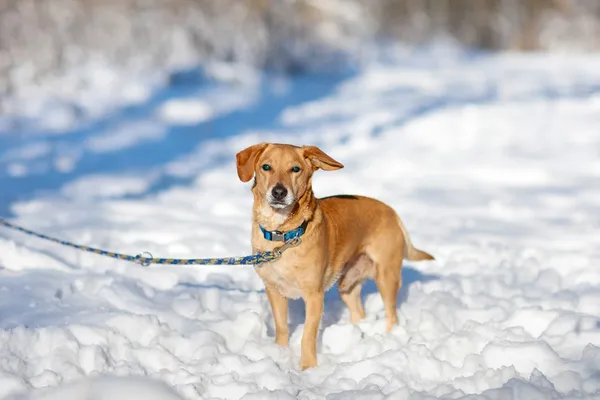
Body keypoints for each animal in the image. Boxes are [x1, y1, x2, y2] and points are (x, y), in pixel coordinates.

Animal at [234, 143, 432, 368]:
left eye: (295, 169)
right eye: (266, 167)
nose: (279, 192)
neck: (283, 236)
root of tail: (391, 211)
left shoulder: (314, 296)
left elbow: (307, 336)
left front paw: (308, 368)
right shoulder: (274, 290)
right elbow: (282, 326)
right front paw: (280, 353)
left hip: (386, 276)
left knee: (392, 314)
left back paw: (390, 339)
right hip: (347, 284)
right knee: (358, 312)